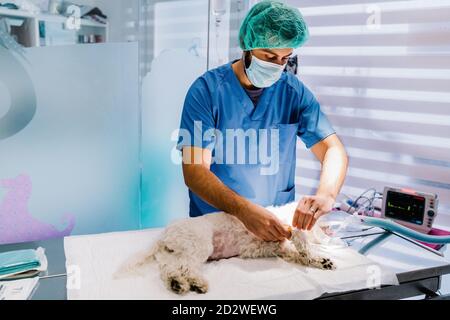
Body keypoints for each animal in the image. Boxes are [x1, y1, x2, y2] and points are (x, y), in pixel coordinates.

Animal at [118, 202, 336, 296]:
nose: (331, 232)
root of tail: (164, 234)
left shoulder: (279, 248)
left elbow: (297, 255)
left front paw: (322, 261)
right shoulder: (284, 229)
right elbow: (302, 242)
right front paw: (312, 252)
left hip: (173, 254)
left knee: (168, 270)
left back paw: (177, 284)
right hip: (199, 244)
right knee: (187, 267)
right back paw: (195, 283)